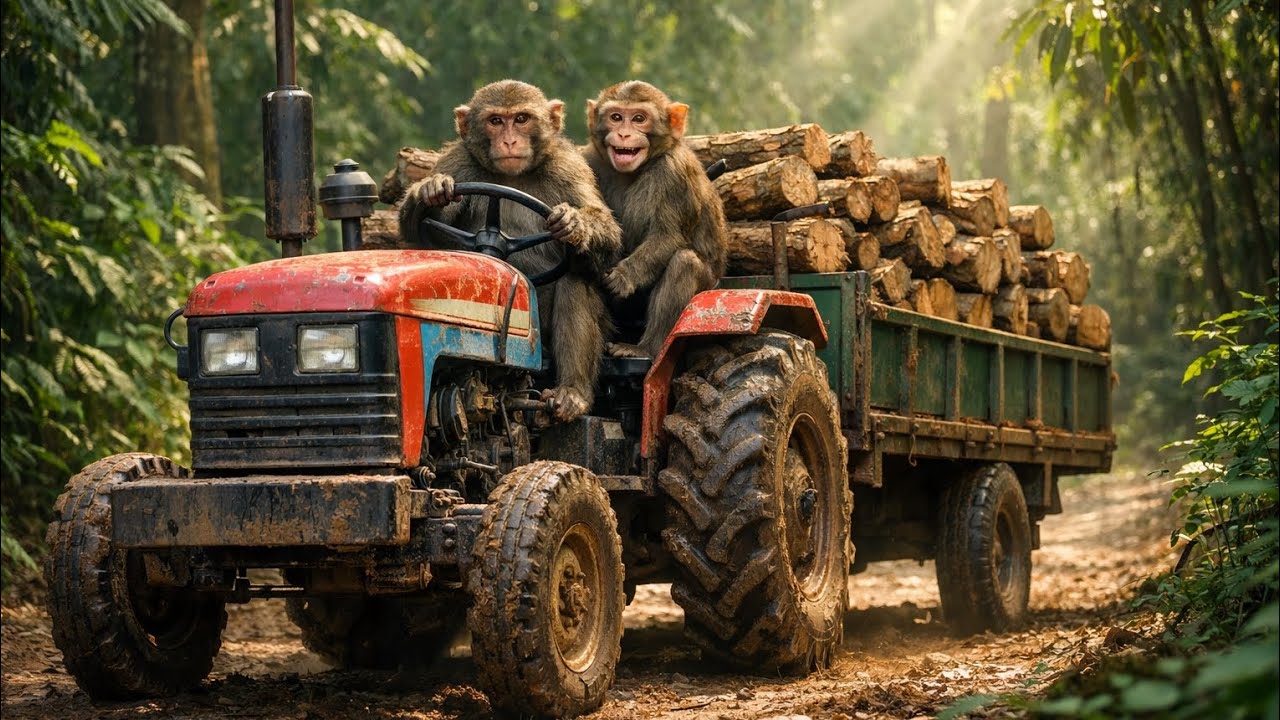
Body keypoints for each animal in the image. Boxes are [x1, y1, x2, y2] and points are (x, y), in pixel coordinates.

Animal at [399, 80, 622, 422]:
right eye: (495, 121)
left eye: (521, 119)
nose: (508, 140)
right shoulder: (458, 163)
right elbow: (419, 235)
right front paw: (429, 191)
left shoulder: (567, 168)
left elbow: (606, 234)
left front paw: (575, 223)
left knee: (574, 279)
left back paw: (572, 393)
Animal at [583, 80, 728, 360]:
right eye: (616, 117)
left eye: (639, 119)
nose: (624, 134)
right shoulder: (589, 159)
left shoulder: (674, 173)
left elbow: (667, 236)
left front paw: (624, 276)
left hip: (708, 291)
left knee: (685, 263)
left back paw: (646, 348)